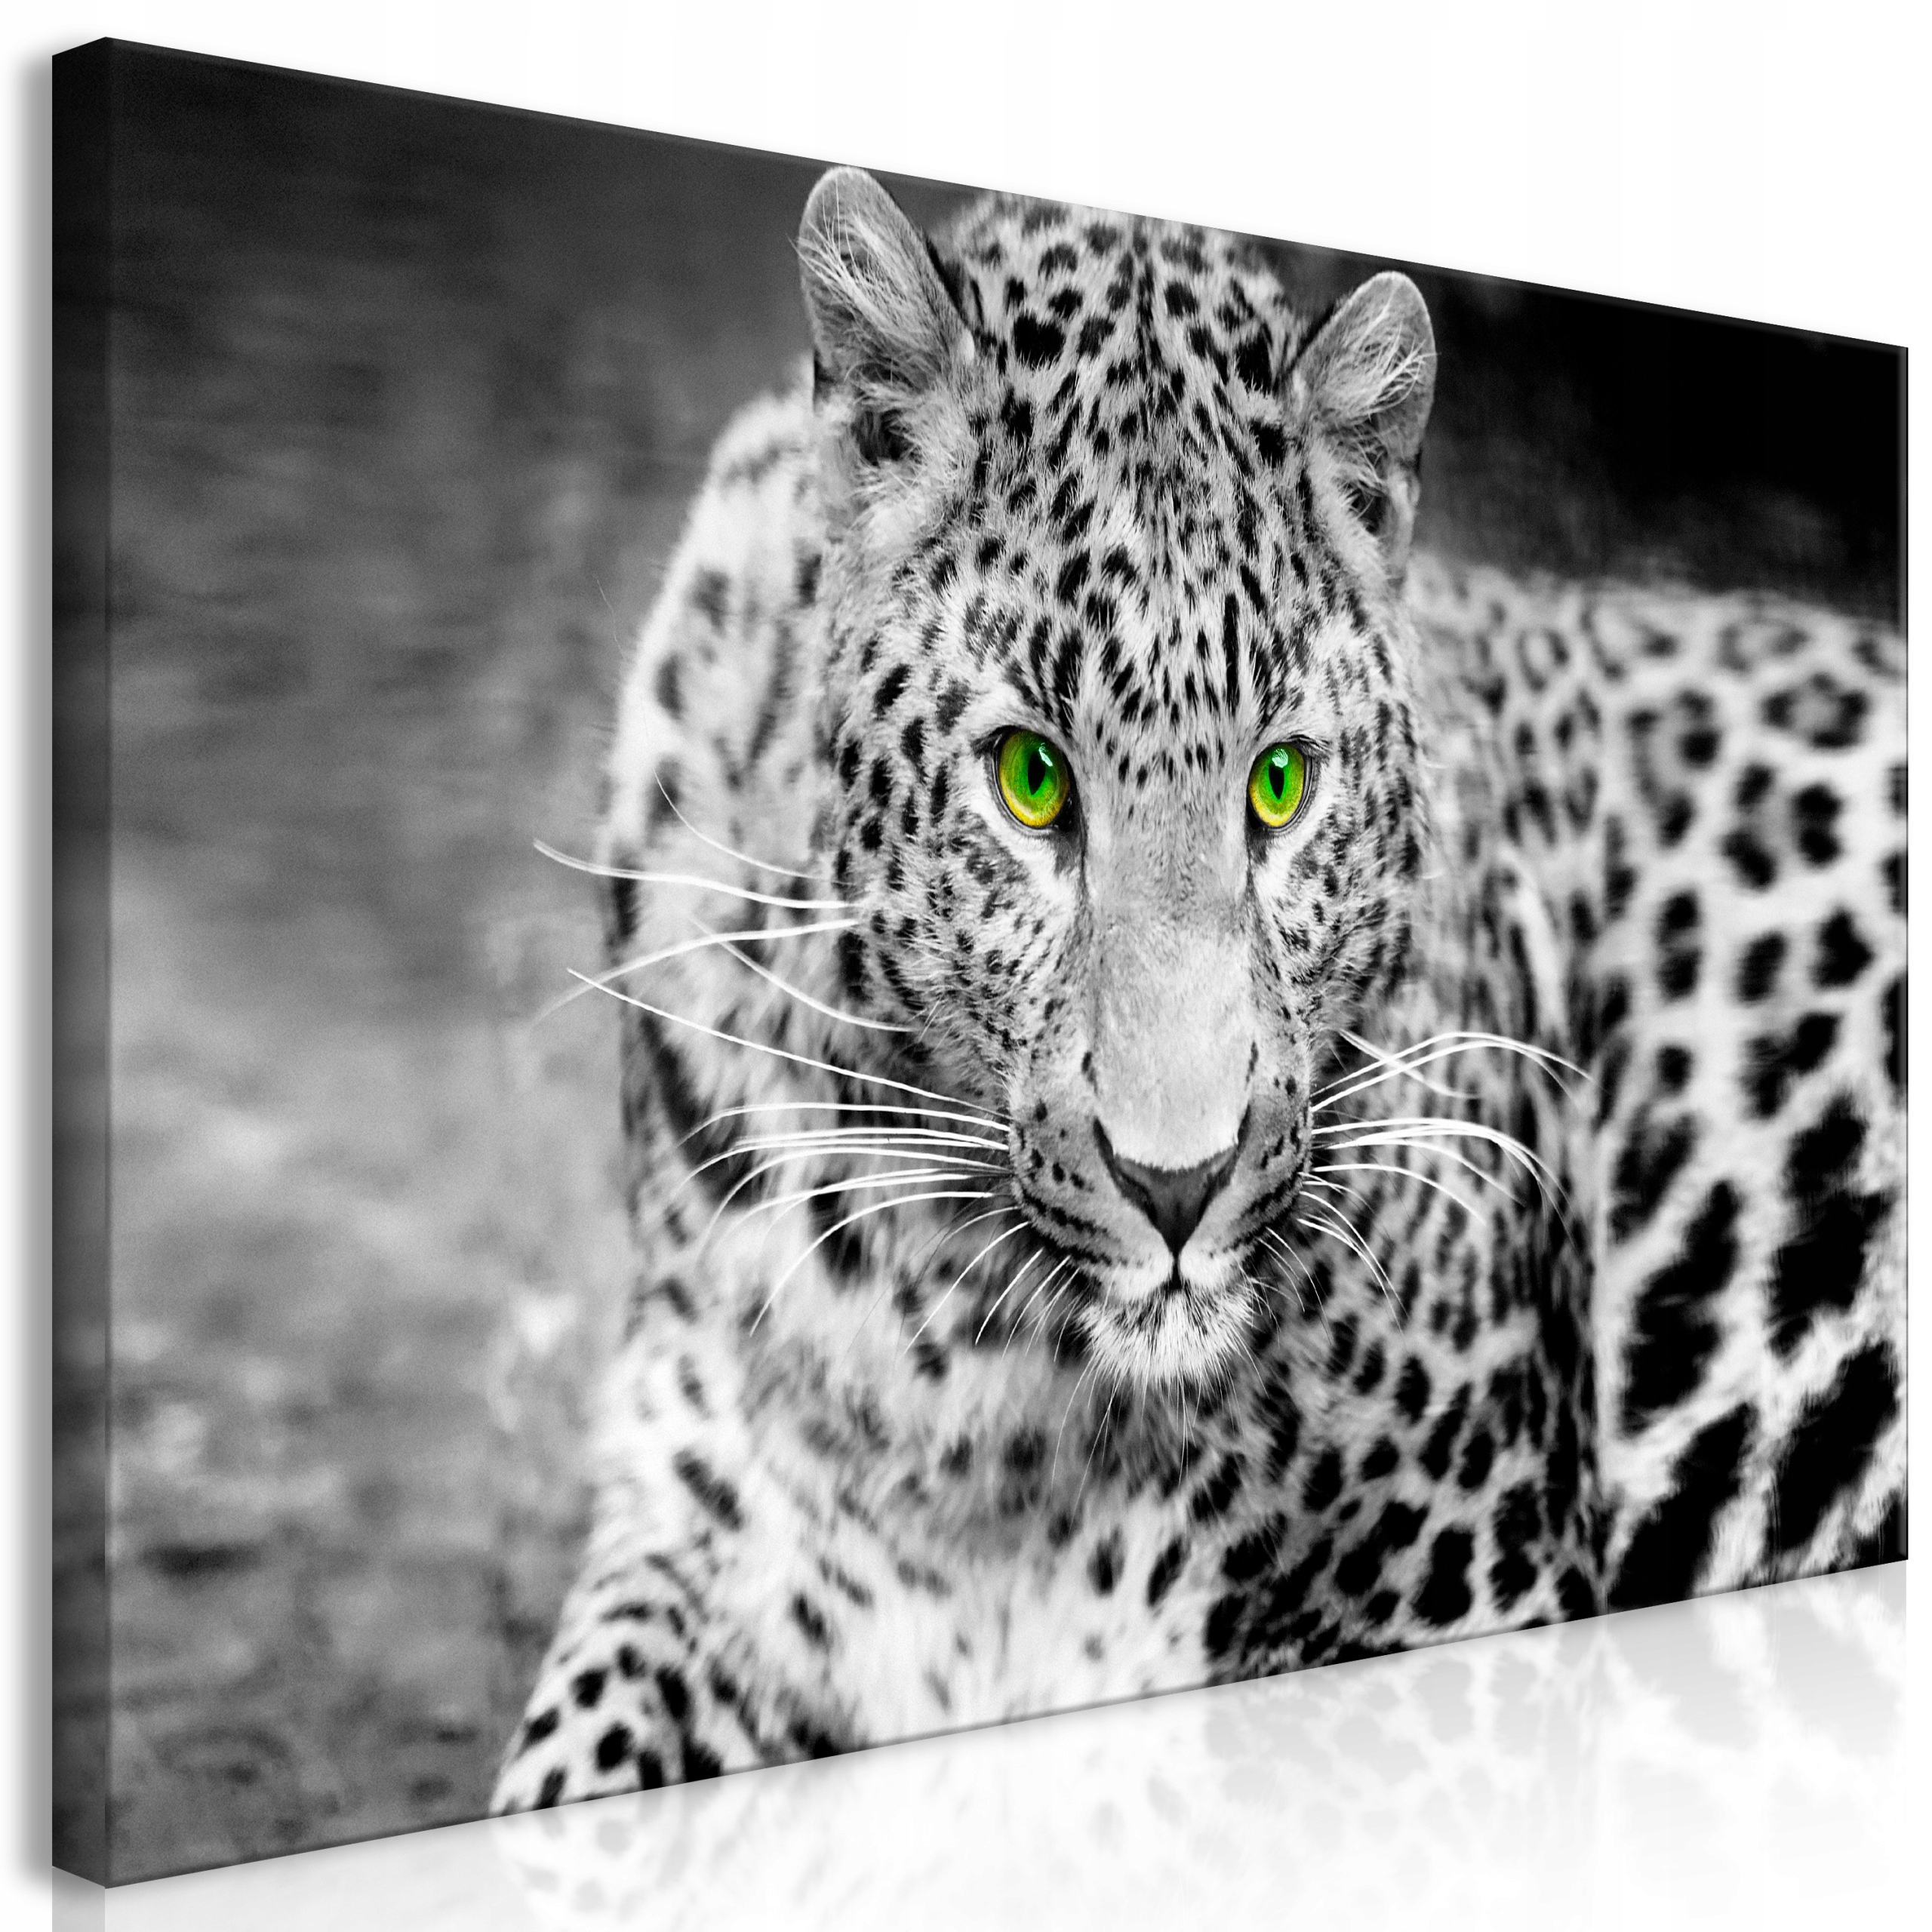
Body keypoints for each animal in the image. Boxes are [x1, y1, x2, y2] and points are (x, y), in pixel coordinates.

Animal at [492, 166, 1906, 1814]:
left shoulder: (1460, 1624)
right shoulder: (702, 1530)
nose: (1179, 1185)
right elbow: (566, 1798)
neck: (958, 1365)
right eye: (1031, 780)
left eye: (1278, 785)